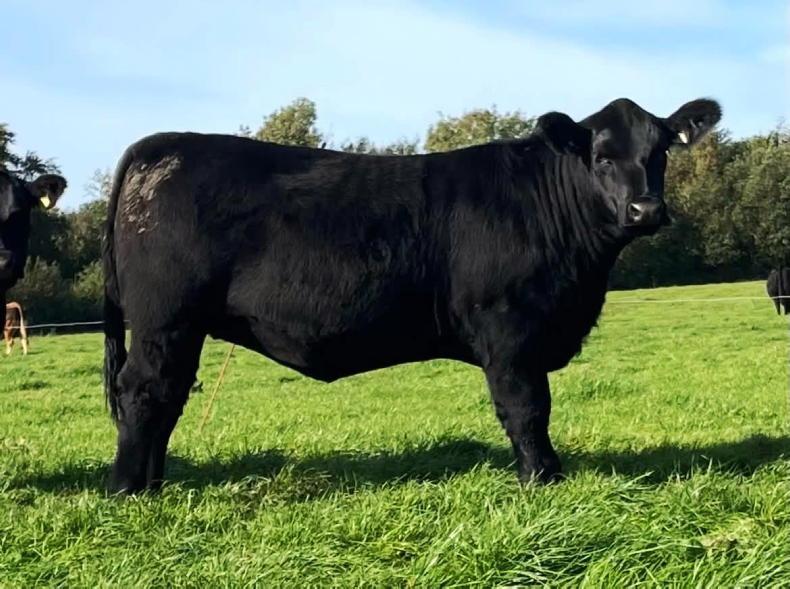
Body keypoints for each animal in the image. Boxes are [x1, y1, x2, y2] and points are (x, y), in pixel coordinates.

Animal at [103, 97, 722, 494]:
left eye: (661, 151)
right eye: (601, 157)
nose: (645, 209)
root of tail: (165, 143)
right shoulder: (509, 329)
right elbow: (526, 408)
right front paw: (543, 479)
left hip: (180, 326)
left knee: (168, 395)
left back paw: (154, 481)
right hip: (166, 319)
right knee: (144, 392)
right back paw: (129, 488)